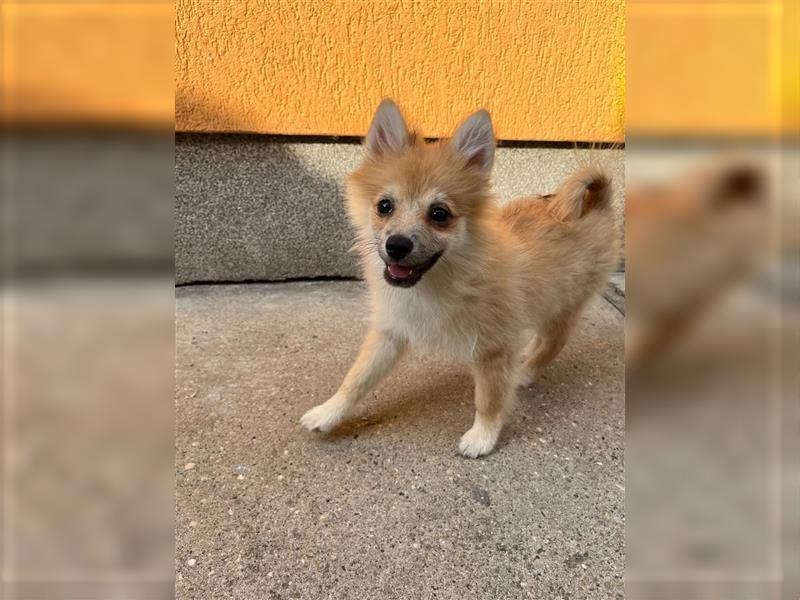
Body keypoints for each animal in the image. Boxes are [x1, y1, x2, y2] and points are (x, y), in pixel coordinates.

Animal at [304, 98, 620, 458]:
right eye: (384, 206)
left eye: (439, 214)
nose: (396, 245)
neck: (440, 279)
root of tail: (598, 204)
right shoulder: (390, 331)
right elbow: (357, 377)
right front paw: (329, 412)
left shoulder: (492, 347)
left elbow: (489, 399)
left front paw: (483, 437)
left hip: (563, 306)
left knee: (554, 342)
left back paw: (524, 371)